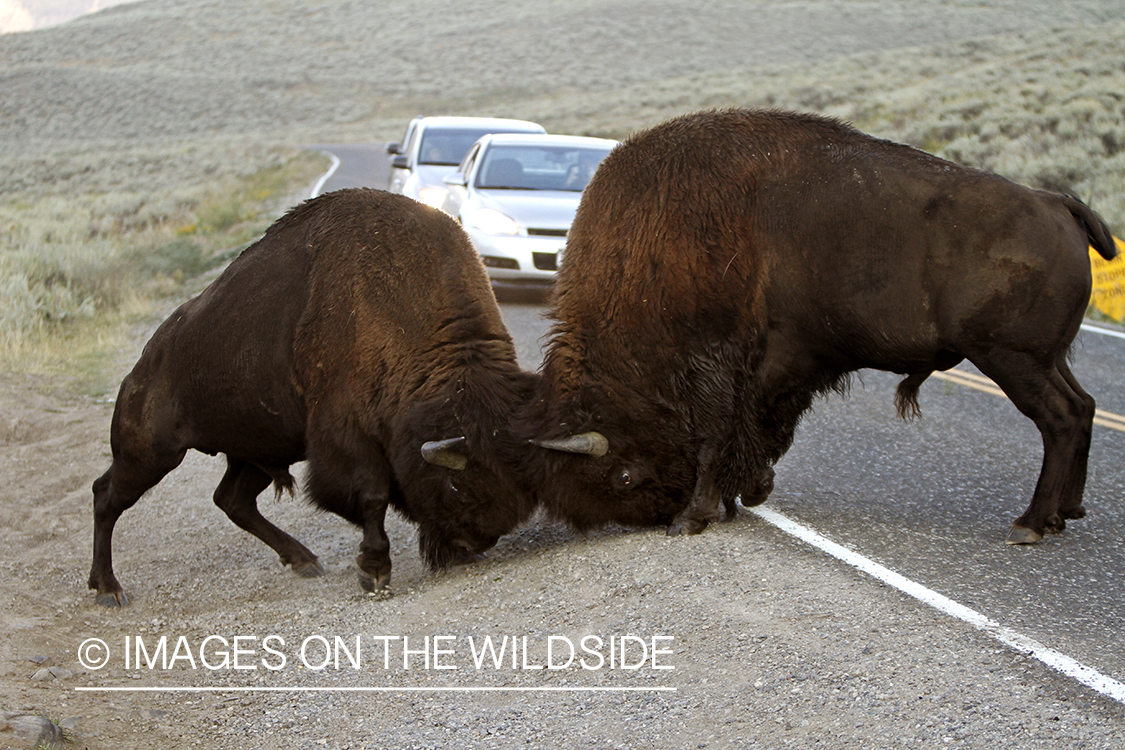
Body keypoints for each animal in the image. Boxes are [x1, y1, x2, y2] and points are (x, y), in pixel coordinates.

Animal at [87, 188, 535, 611]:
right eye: (457, 485)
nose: (472, 545)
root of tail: (145, 362)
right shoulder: (344, 436)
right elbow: (371, 495)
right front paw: (374, 573)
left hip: (258, 450)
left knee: (232, 500)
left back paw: (304, 560)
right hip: (150, 455)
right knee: (106, 495)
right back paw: (108, 589)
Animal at [517, 108, 1116, 546]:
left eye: (621, 475)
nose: (655, 516)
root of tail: (1056, 203)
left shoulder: (722, 367)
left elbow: (720, 435)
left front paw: (696, 516)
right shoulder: (783, 367)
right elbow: (756, 431)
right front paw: (744, 494)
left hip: (1011, 357)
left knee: (1060, 419)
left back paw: (1030, 525)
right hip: (1047, 357)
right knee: (1084, 406)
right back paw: (1067, 512)